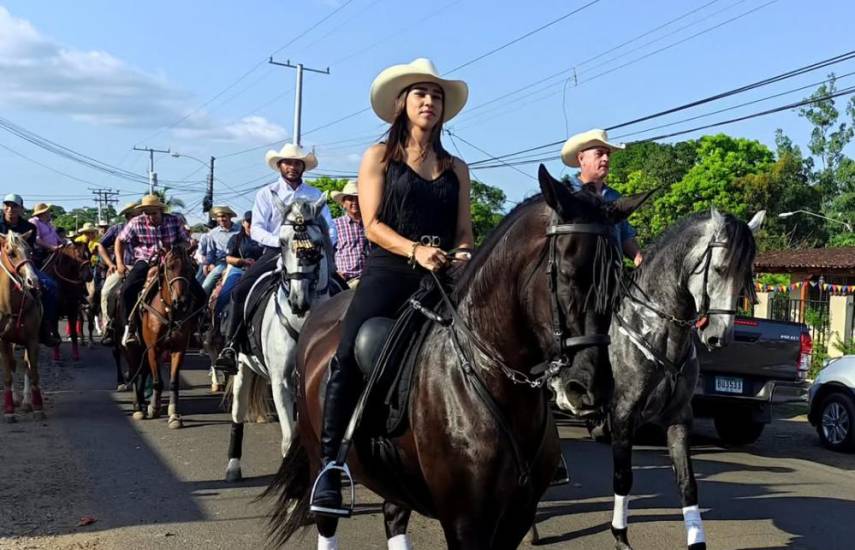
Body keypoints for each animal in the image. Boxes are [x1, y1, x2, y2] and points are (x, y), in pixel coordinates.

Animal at [124, 246, 201, 432]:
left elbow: (173, 382)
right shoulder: (153, 348)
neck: (169, 312)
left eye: (191, 268)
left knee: (143, 371)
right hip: (134, 348)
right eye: (170, 267)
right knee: (135, 370)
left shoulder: (178, 349)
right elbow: (158, 380)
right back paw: (138, 407)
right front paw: (154, 408)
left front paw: (174, 415)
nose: (181, 301)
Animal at [224, 196, 338, 486]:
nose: (299, 301)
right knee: (237, 415)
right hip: (241, 370)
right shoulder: (282, 382)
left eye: (316, 245)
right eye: (283, 242)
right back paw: (233, 466)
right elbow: (288, 438)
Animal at [268, 168, 656, 550]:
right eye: (567, 275)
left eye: (617, 281)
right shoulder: (465, 522)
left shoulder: (516, 517)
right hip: (319, 456)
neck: (490, 377)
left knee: (393, 516)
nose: (590, 389)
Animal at [588, 209, 764, 548]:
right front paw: (620, 534)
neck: (652, 326)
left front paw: (697, 539)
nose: (718, 337)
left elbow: (687, 483)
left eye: (745, 278)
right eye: (719, 268)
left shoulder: (679, 417)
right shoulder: (623, 413)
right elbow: (623, 478)